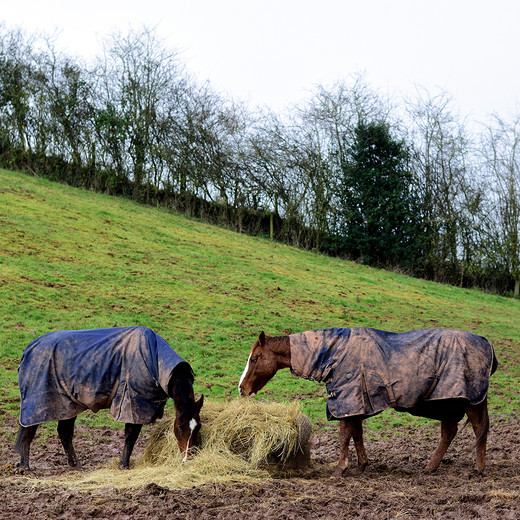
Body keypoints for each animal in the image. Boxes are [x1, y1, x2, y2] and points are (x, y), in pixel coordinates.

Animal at [16, 328, 203, 470]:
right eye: (180, 426)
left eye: (198, 426)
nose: (188, 458)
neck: (154, 359)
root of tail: (30, 348)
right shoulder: (132, 405)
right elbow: (131, 436)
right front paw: (124, 465)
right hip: (37, 404)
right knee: (29, 431)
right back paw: (25, 466)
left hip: (68, 406)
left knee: (64, 433)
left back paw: (75, 464)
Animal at [240, 330, 496, 476]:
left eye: (254, 359)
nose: (242, 389)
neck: (333, 352)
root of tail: (486, 344)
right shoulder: (357, 402)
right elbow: (357, 433)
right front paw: (362, 464)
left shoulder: (347, 400)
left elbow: (345, 434)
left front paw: (340, 468)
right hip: (447, 402)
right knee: (449, 432)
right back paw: (430, 467)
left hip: (471, 400)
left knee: (479, 429)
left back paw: (478, 468)